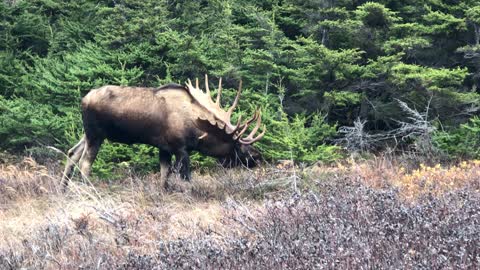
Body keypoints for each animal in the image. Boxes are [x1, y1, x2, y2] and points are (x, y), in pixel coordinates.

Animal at [60, 76, 266, 190]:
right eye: (239, 146)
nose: (258, 157)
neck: (196, 129)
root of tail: (83, 100)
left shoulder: (164, 148)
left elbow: (164, 178)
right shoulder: (180, 148)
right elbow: (186, 179)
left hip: (87, 133)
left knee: (72, 153)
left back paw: (63, 190)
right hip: (96, 134)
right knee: (85, 163)